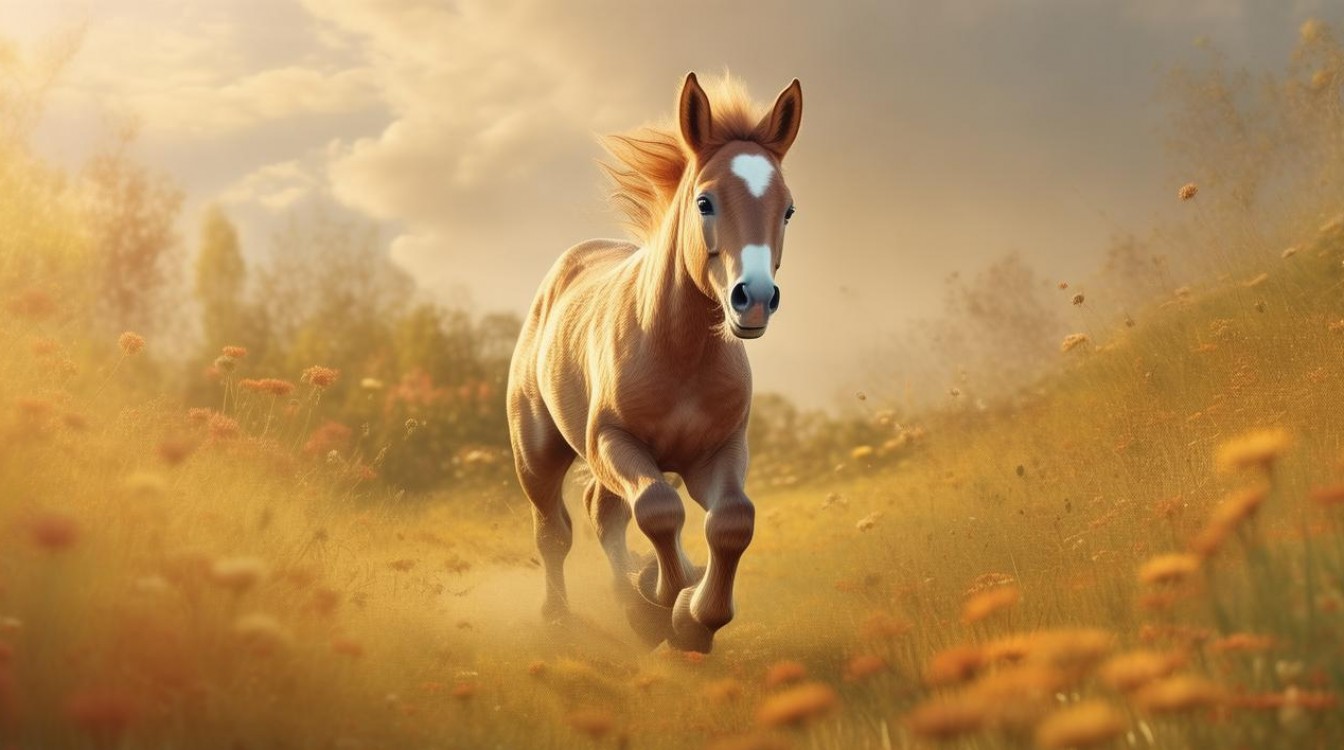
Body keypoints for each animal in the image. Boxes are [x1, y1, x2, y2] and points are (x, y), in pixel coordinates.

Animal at [506, 72, 802, 653]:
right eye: (705, 202)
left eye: (788, 209)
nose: (754, 299)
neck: (678, 353)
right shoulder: (614, 441)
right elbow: (658, 510)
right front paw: (665, 603)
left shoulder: (719, 451)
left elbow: (731, 520)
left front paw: (693, 615)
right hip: (539, 455)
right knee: (556, 531)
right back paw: (563, 618)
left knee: (603, 512)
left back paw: (636, 597)